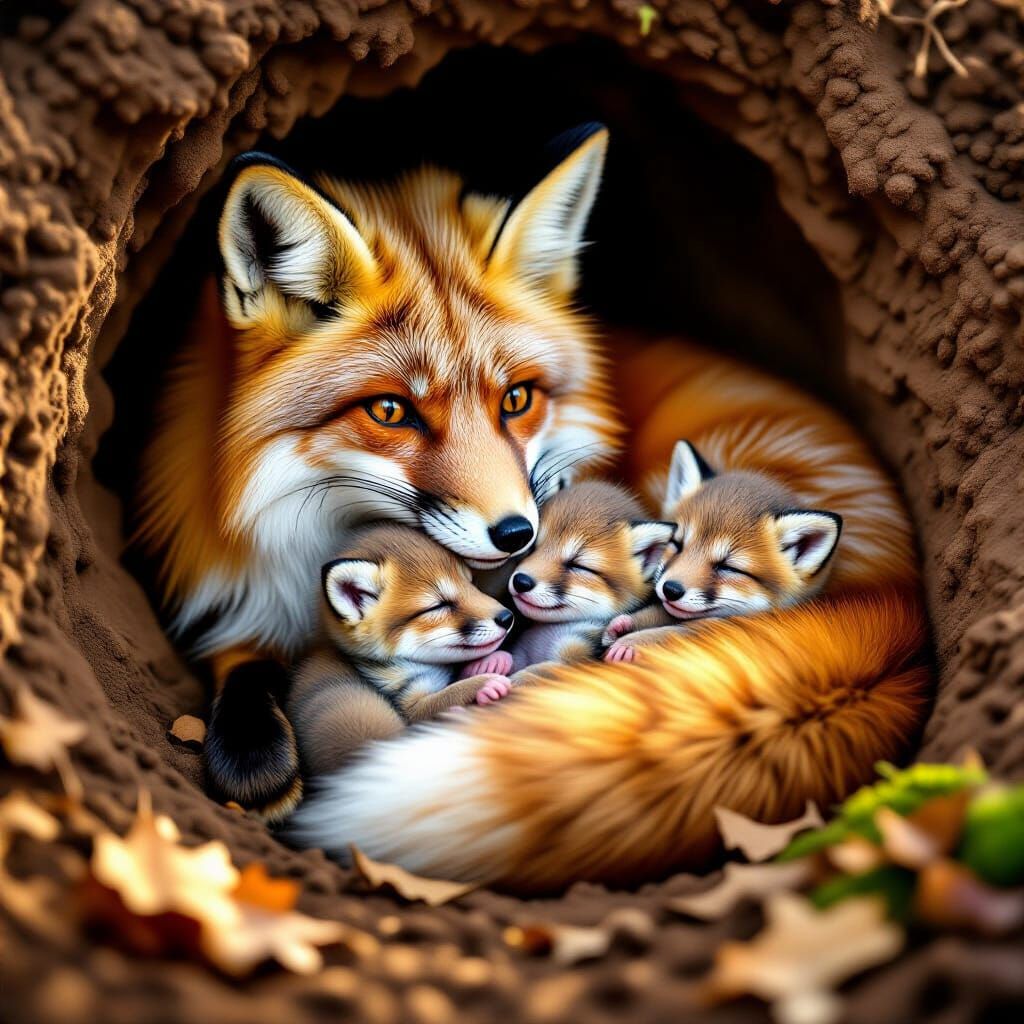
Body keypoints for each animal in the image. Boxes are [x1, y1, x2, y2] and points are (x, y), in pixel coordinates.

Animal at [287, 525, 516, 780]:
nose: (507, 617)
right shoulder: (409, 707)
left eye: (471, 584)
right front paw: (482, 684)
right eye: (439, 605)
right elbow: (446, 695)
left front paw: (488, 663)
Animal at [602, 439, 844, 662]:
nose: (670, 589)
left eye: (727, 567)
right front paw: (626, 624)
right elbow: (662, 613)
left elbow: (675, 633)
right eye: (677, 544)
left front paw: (633, 642)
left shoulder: (727, 628)